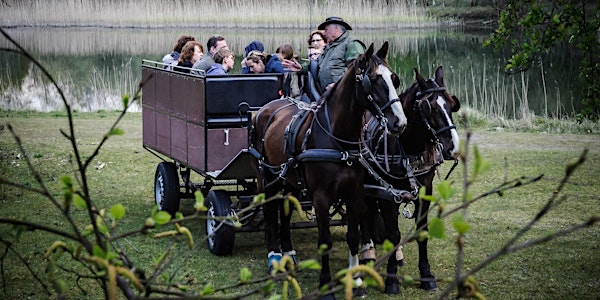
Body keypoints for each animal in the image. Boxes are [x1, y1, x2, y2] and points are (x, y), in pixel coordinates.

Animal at [248, 42, 408, 296]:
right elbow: (325, 240)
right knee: (271, 213)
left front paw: (356, 281)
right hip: (266, 178)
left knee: (284, 211)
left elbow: (353, 236)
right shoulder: (321, 197)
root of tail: (266, 108)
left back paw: (288, 251)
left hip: (289, 181)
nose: (399, 123)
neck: (338, 139)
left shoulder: (354, 193)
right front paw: (325, 283)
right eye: (372, 80)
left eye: (394, 79)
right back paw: (274, 256)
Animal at [360, 65, 460, 292]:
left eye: (452, 104)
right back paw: (368, 252)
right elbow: (393, 233)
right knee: (367, 217)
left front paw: (426, 275)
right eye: (430, 107)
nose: (453, 147)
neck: (407, 147)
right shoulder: (388, 195)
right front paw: (391, 280)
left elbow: (421, 231)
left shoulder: (425, 191)